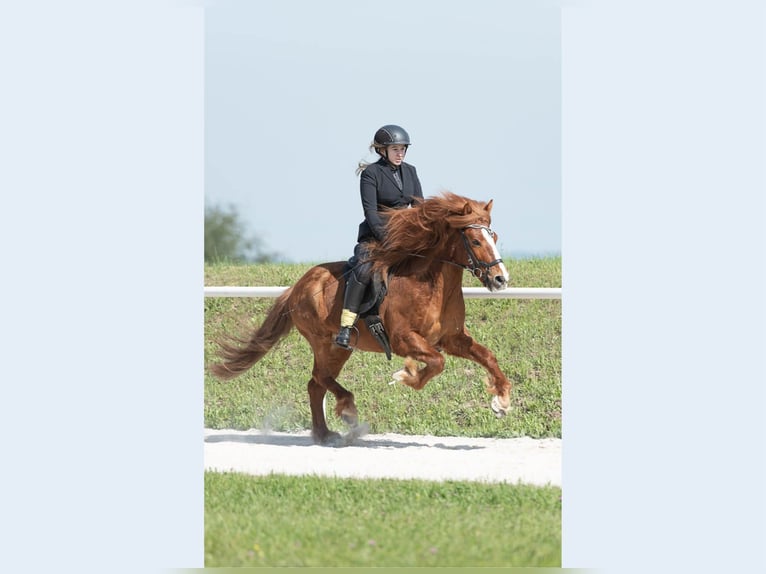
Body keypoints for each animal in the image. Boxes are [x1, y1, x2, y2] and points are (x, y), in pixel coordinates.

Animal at [209, 192, 513, 445]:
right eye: (475, 241)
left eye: (495, 238)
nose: (501, 279)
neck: (430, 284)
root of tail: (297, 286)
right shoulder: (404, 340)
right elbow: (437, 363)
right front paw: (407, 375)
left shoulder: (452, 339)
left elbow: (487, 356)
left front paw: (501, 401)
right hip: (326, 342)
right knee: (319, 378)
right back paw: (348, 414)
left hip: (338, 349)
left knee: (316, 383)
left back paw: (325, 434)